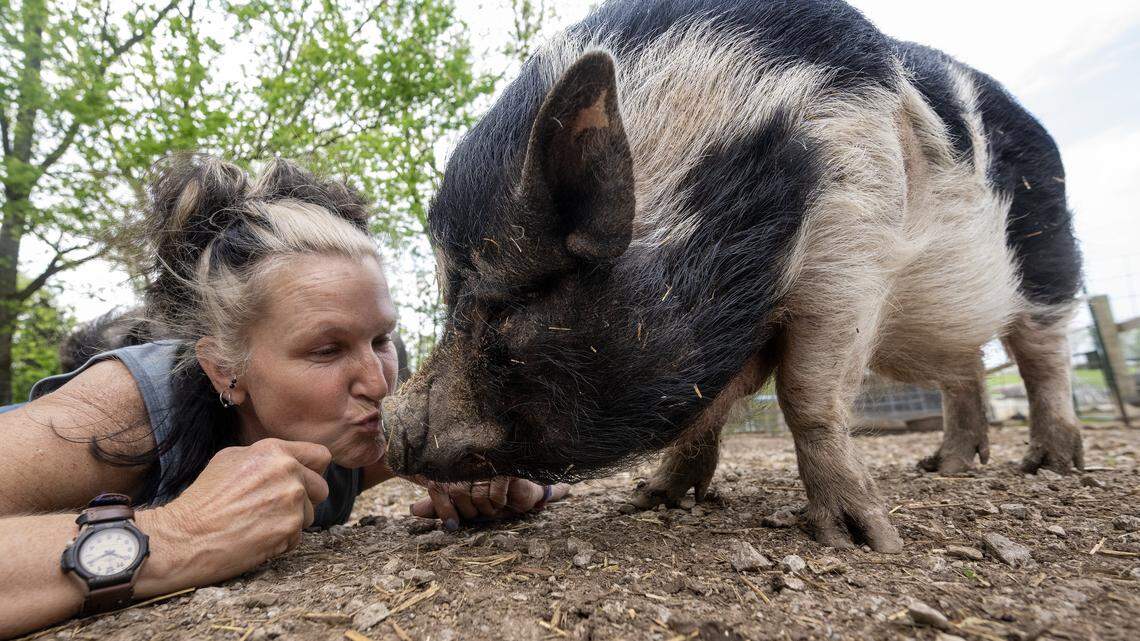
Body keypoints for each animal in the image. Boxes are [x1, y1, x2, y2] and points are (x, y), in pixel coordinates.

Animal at [385, 0, 1083, 551]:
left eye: (506, 303)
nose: (390, 424)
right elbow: (708, 406)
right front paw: (648, 499)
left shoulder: (848, 259)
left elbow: (808, 395)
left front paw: (864, 541)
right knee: (966, 370)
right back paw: (942, 467)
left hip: (1050, 257)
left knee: (1043, 354)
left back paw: (1051, 468)